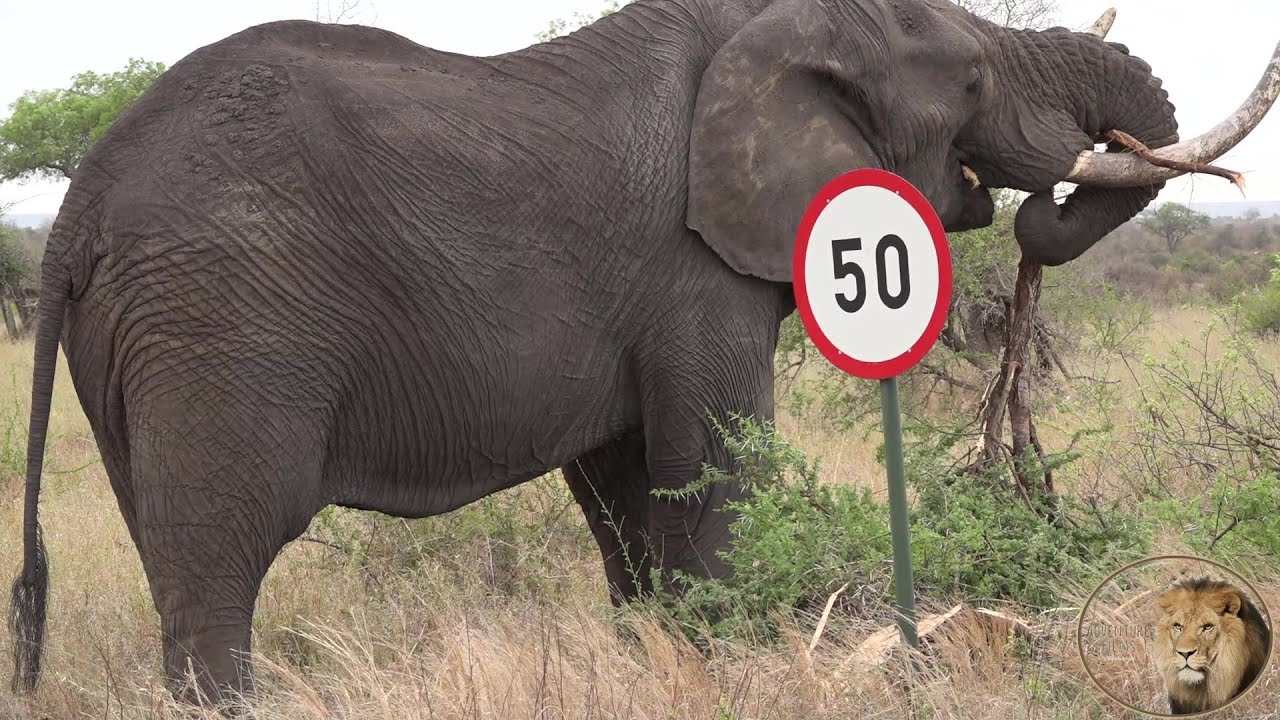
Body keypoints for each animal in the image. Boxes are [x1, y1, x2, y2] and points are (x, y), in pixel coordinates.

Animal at [8, 0, 1275, 707]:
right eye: (968, 80)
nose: (1035, 205)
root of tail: (78, 210)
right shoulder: (691, 266)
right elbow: (710, 472)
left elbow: (627, 502)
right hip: (219, 320)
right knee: (222, 554)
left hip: (146, 340)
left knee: (172, 546)